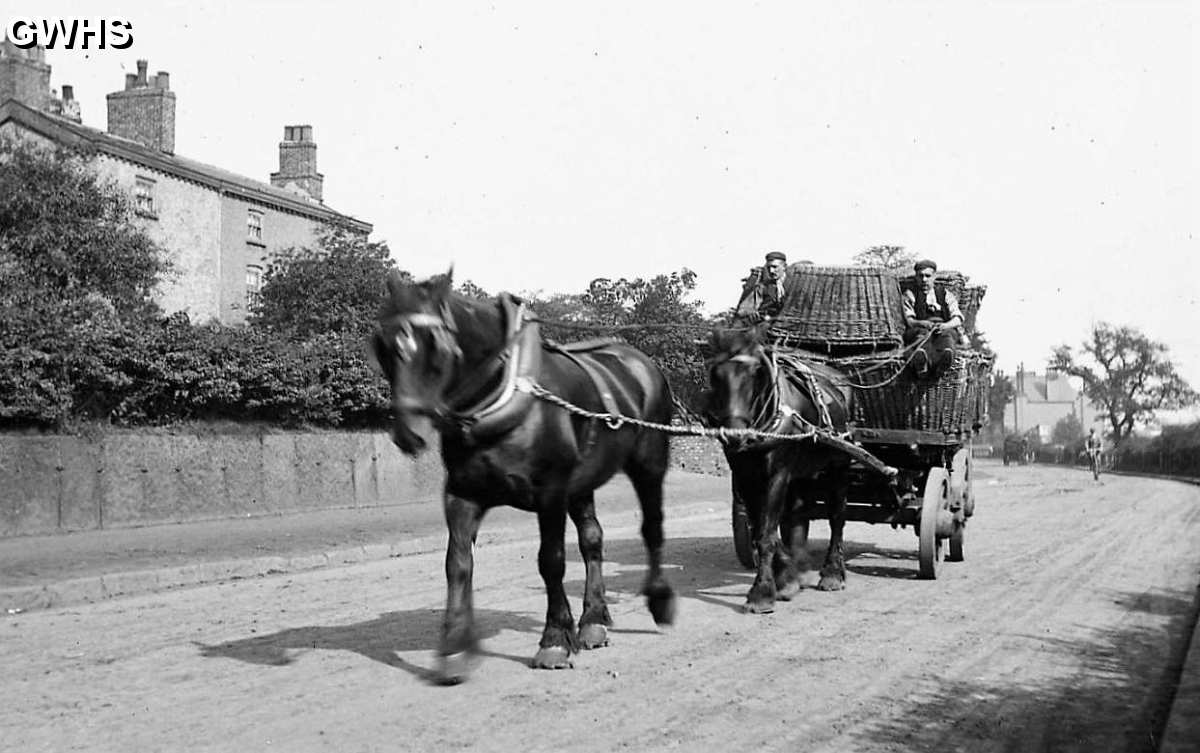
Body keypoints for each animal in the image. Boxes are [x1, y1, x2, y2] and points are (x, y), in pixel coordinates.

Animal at [369, 270, 681, 681]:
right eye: (383, 346)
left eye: (437, 347)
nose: (409, 434)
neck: (505, 392)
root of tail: (641, 362)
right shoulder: (462, 494)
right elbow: (457, 563)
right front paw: (454, 646)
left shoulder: (550, 492)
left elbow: (551, 561)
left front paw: (554, 639)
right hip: (581, 482)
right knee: (592, 540)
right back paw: (593, 621)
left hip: (649, 463)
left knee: (652, 527)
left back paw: (659, 600)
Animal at [700, 326, 864, 613]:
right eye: (715, 374)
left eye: (756, 373)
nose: (735, 436)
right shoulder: (745, 477)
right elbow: (762, 530)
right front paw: (787, 577)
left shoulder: (777, 474)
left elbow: (767, 534)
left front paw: (762, 592)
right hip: (803, 472)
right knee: (797, 514)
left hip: (839, 464)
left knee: (837, 516)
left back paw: (833, 572)